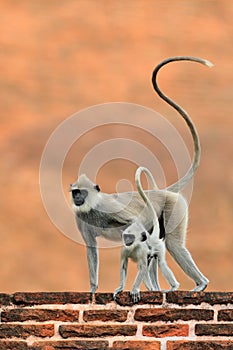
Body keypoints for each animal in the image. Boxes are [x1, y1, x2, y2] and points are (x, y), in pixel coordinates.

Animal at [113, 165, 178, 302]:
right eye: (126, 237)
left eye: (131, 237)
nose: (127, 241)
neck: (133, 247)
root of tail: (152, 237)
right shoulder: (124, 250)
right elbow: (124, 265)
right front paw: (120, 288)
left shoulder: (142, 251)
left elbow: (142, 268)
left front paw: (134, 290)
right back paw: (152, 289)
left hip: (159, 247)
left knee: (160, 263)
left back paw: (174, 286)